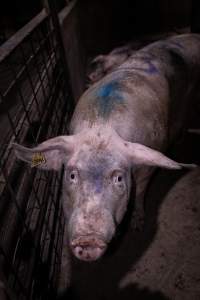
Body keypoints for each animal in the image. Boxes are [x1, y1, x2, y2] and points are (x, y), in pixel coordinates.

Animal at [12, 34, 198, 262]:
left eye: (118, 178)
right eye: (71, 175)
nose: (88, 239)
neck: (102, 127)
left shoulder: (150, 158)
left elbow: (140, 191)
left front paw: (137, 226)